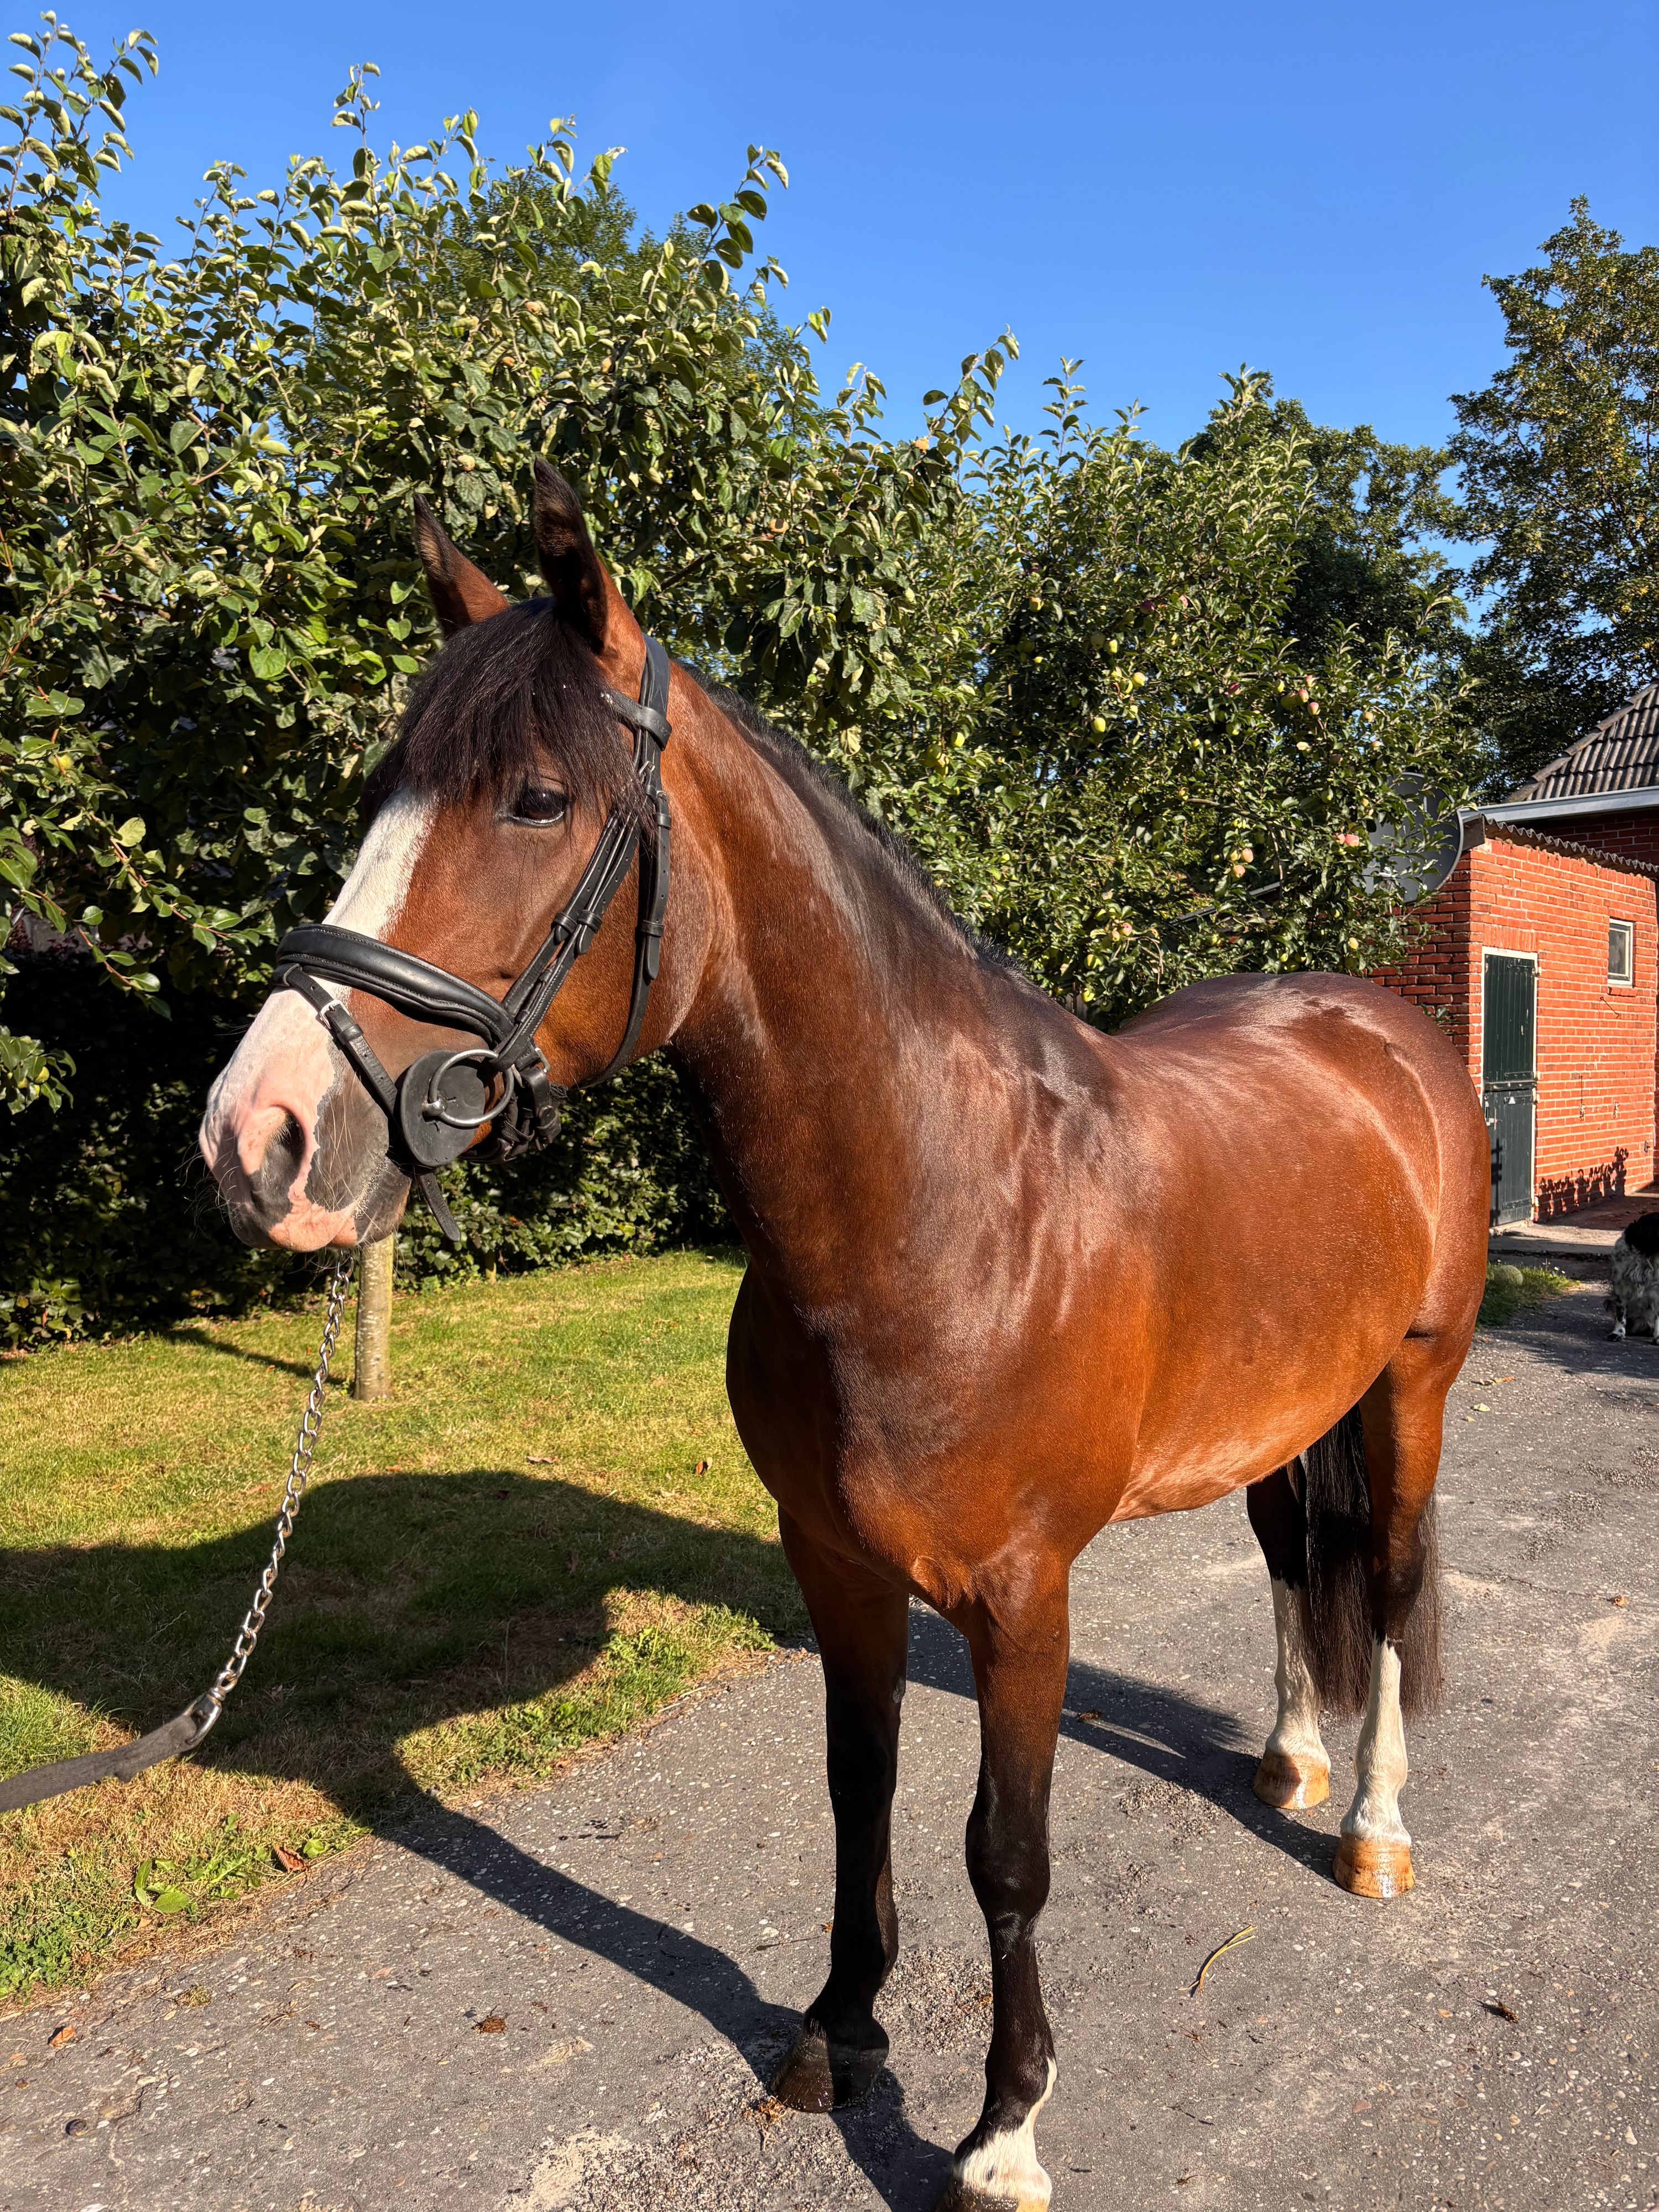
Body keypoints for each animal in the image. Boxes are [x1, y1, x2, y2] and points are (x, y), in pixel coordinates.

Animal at [200, 464, 1489, 2212]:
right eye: (383, 791)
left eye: (534, 799)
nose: (258, 1138)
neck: (932, 1216)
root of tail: (1378, 1024)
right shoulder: (834, 1561)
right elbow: (856, 1794)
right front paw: (838, 2030)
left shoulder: (1020, 1597)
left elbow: (1003, 1852)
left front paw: (1003, 2127)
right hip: (1292, 1408)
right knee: (1299, 1563)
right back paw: (1289, 1757)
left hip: (1414, 1382)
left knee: (1398, 1582)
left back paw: (1369, 1828)